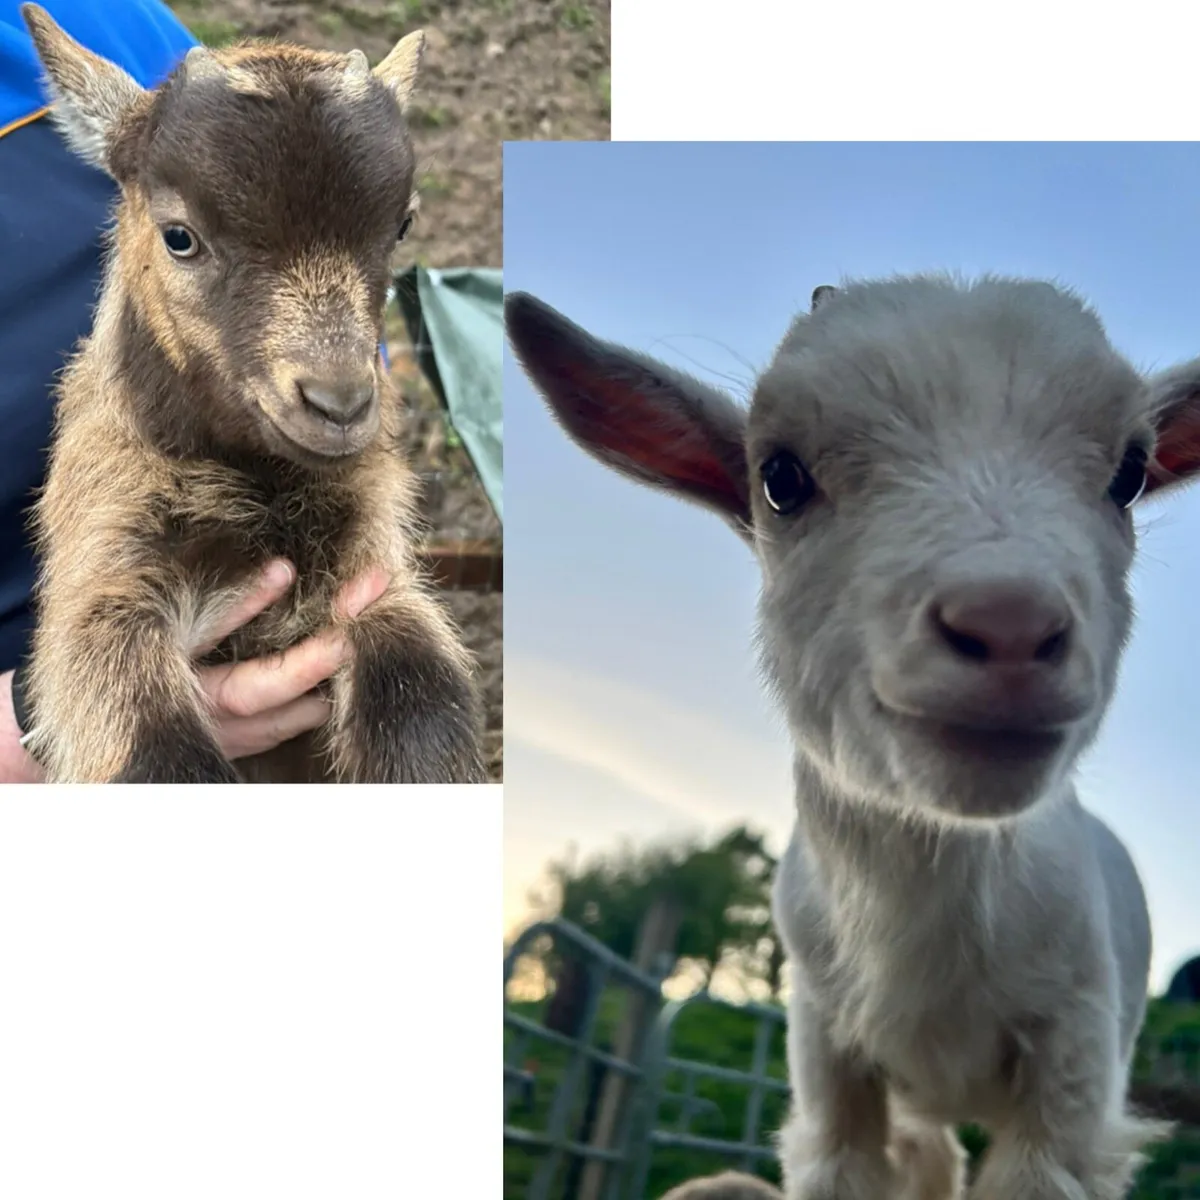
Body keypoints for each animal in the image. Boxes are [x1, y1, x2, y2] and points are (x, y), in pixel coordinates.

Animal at [19, 5, 484, 783]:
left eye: (402, 225)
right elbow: (154, 751)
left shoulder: (374, 561)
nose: (340, 405)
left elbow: (424, 702)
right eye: (179, 237)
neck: (257, 482)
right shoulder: (103, 569)